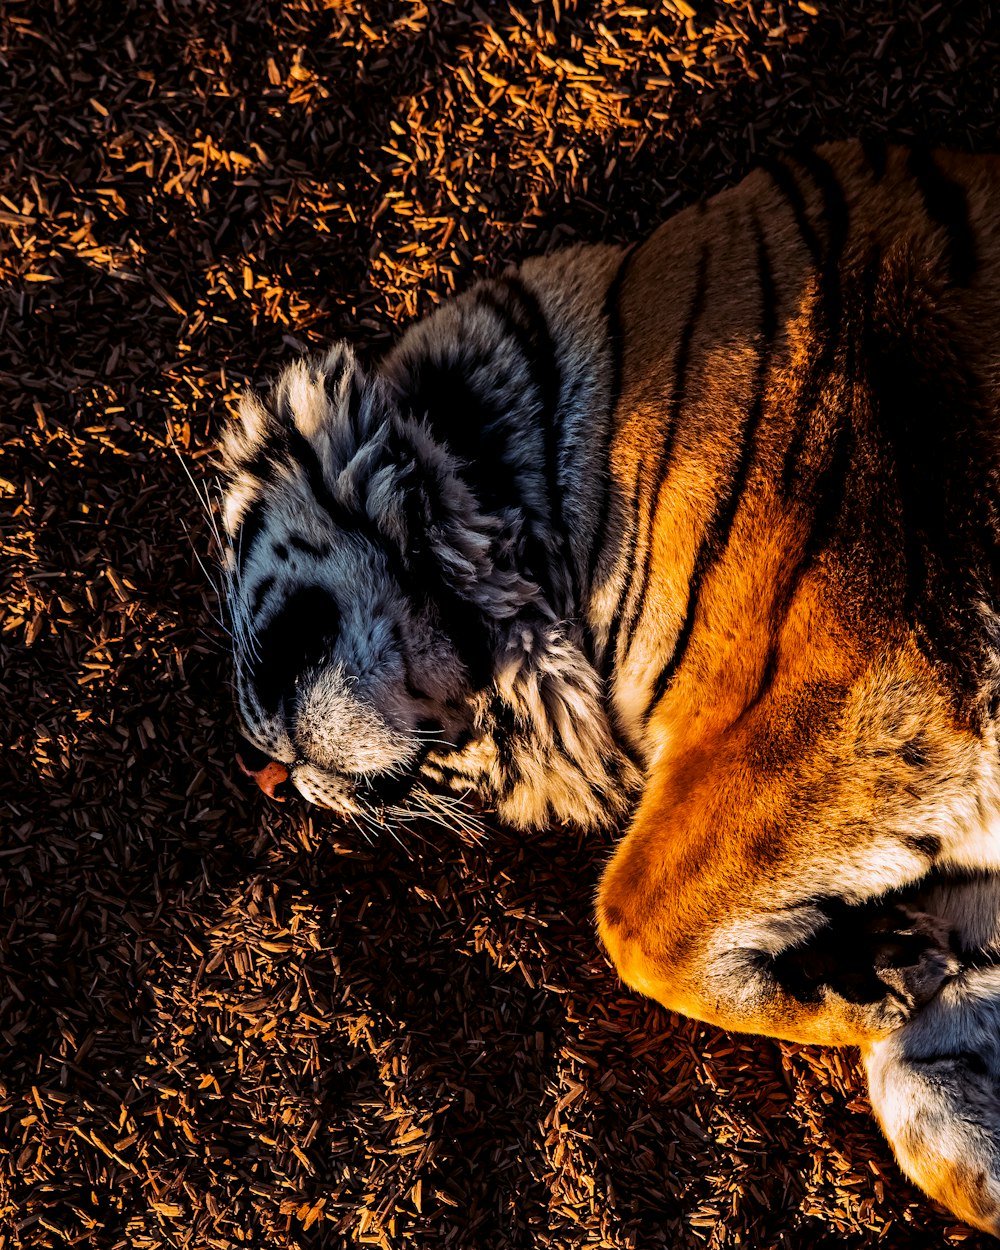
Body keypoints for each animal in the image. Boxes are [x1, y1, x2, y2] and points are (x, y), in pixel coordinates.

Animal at [221, 141, 1000, 1235]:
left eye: (267, 644)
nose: (261, 774)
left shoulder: (859, 682)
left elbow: (632, 913)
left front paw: (848, 994)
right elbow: (927, 1089)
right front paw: (880, 979)